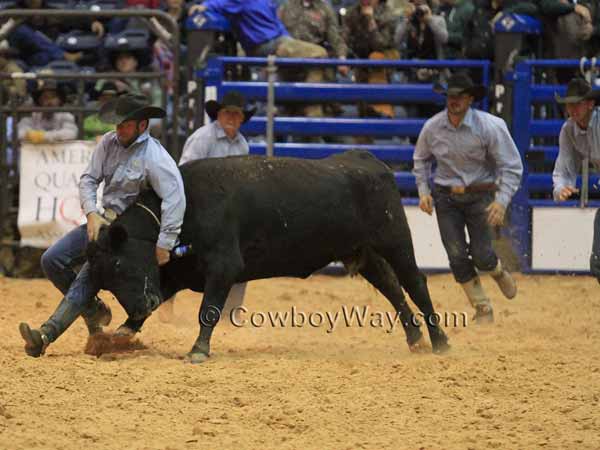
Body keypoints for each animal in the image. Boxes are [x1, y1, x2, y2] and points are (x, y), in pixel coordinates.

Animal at [86, 151, 448, 362]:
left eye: (119, 264)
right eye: (104, 277)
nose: (138, 306)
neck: (182, 207)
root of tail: (369, 160)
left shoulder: (223, 267)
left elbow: (209, 310)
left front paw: (198, 350)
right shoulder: (176, 272)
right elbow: (161, 297)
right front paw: (120, 334)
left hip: (395, 239)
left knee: (415, 283)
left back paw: (440, 341)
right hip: (361, 250)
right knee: (391, 286)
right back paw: (416, 338)